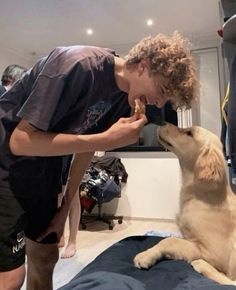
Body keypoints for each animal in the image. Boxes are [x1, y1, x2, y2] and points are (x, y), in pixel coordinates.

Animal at [134, 123, 236, 284]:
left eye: (189, 133)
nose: (163, 122)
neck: (200, 195)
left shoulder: (215, 252)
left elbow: (170, 240)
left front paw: (145, 256)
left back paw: (201, 264)